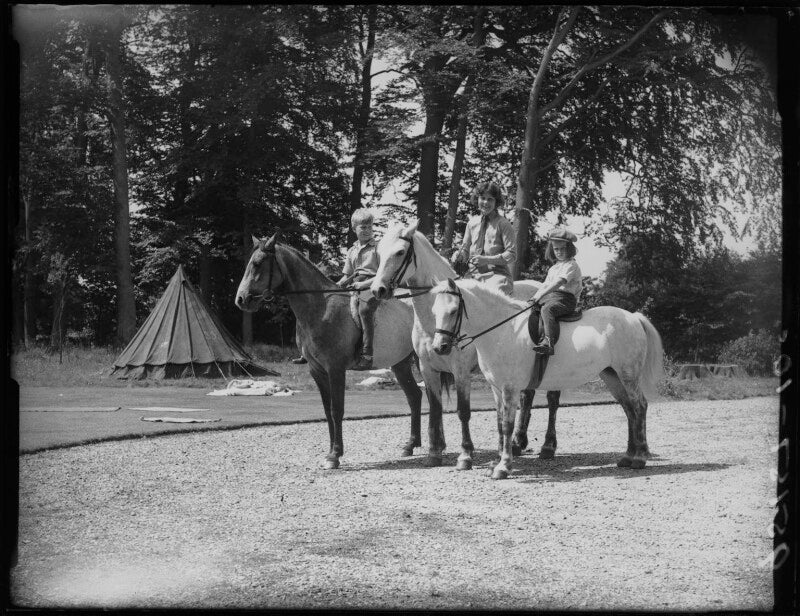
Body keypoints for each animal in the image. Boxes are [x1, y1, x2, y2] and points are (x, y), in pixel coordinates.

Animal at [235, 232, 424, 470]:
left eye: (258, 264)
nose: (241, 299)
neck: (320, 308)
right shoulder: (317, 370)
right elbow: (327, 411)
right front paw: (331, 452)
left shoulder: (335, 369)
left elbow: (337, 409)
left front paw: (334, 455)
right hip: (400, 363)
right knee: (415, 396)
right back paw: (410, 445)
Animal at [370, 219, 563, 465]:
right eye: (379, 252)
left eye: (400, 252)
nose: (378, 289)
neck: (435, 319)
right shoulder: (427, 368)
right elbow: (435, 408)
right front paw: (434, 453)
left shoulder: (460, 370)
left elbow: (463, 411)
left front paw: (466, 454)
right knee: (527, 396)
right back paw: (518, 443)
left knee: (552, 399)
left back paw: (547, 446)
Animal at [430, 277, 664, 479]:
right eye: (433, 312)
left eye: (453, 311)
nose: (439, 347)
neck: (504, 331)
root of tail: (633, 317)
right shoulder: (496, 389)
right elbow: (499, 424)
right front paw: (495, 463)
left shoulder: (510, 388)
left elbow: (507, 425)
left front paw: (503, 466)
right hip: (611, 376)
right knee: (629, 410)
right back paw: (628, 457)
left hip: (628, 375)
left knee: (639, 406)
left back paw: (639, 458)